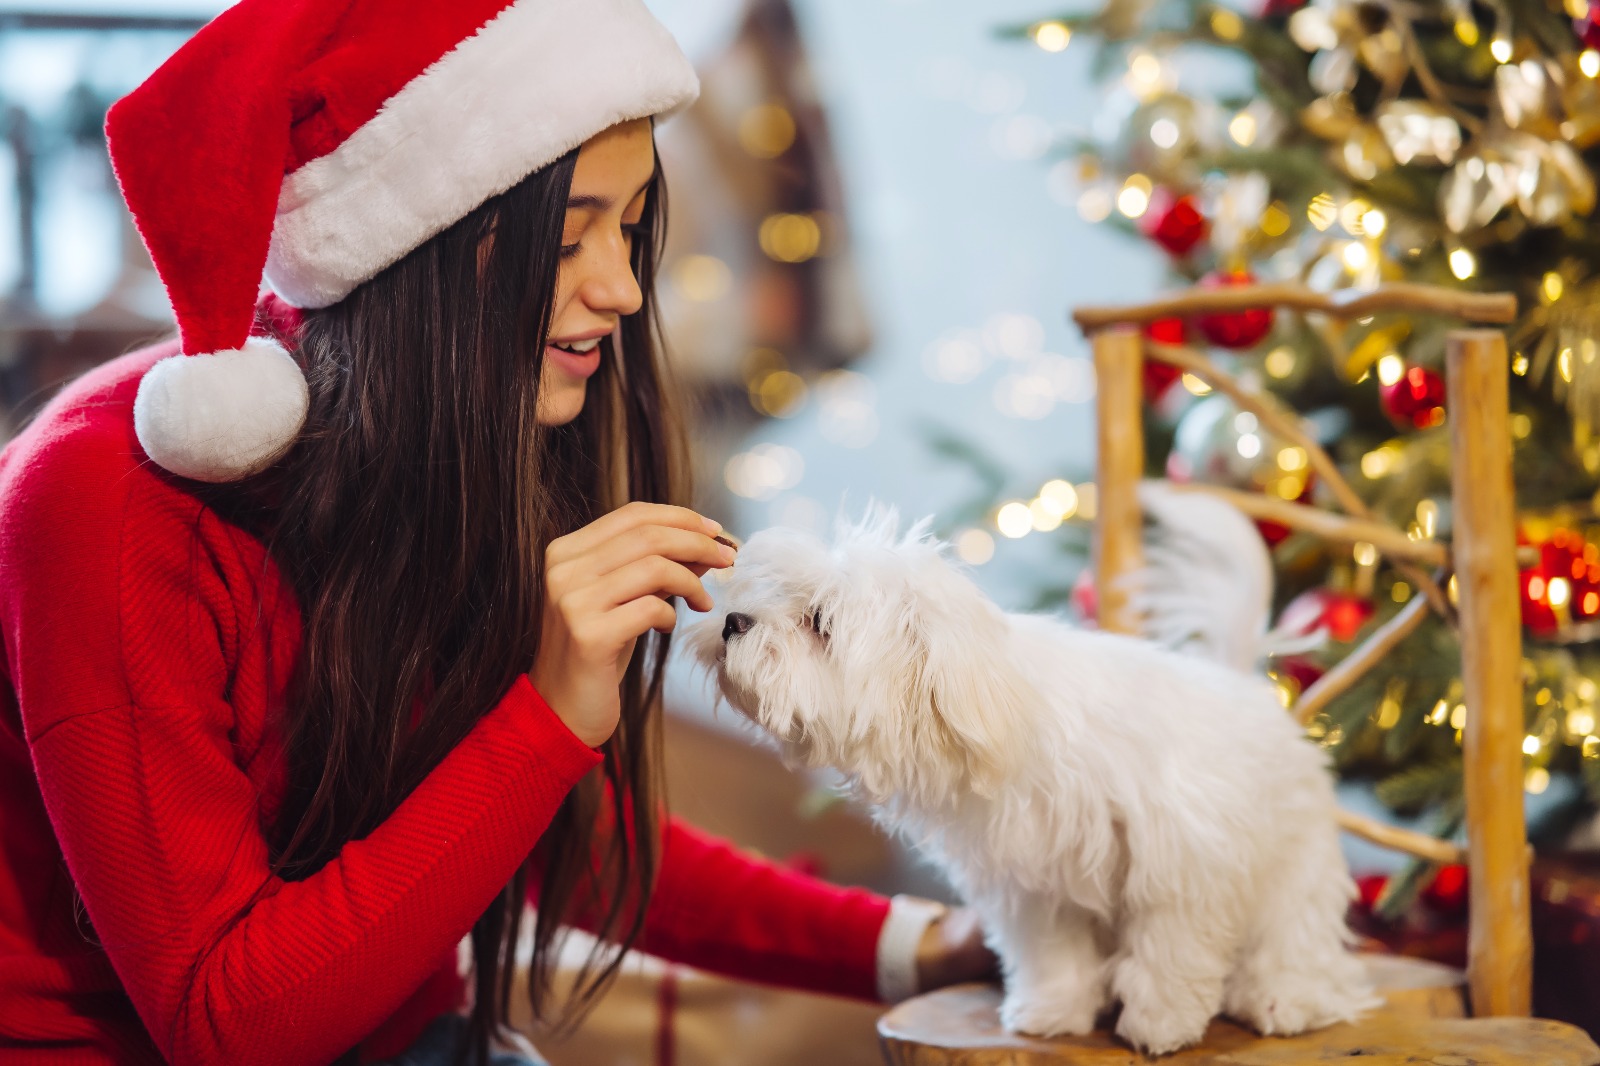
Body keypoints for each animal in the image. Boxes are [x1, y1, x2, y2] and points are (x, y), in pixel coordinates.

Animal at [688, 492, 1376, 1056]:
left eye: (820, 623)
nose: (732, 623)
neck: (1004, 714)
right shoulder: (1033, 880)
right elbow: (1055, 954)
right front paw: (1053, 1012)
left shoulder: (1182, 865)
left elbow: (1170, 950)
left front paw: (1161, 1024)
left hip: (1296, 865)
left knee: (1293, 937)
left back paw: (1283, 998)